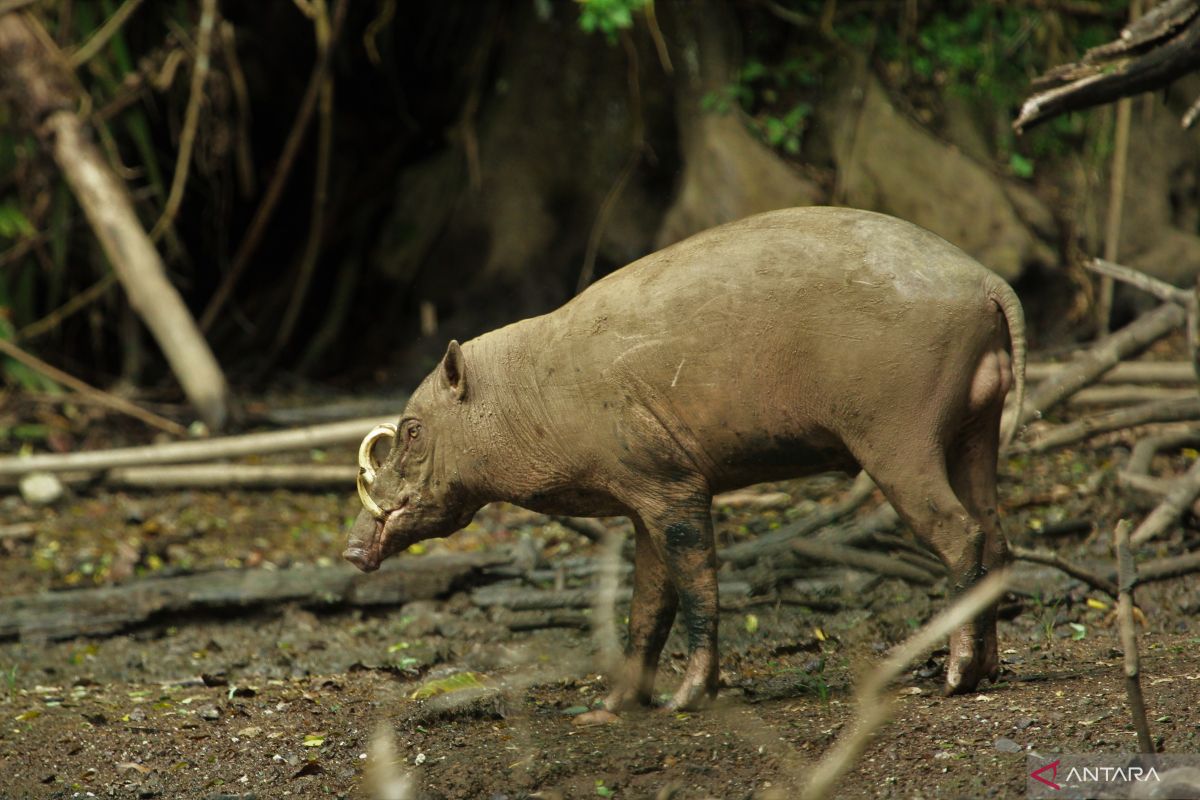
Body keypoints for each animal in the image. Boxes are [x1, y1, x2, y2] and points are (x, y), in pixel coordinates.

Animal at [345, 206, 1022, 714]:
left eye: (411, 432)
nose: (352, 550)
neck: (528, 396)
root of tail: (987, 283)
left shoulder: (671, 483)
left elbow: (697, 586)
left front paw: (685, 699)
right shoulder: (640, 496)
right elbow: (648, 604)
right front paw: (611, 708)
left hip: (899, 435)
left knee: (959, 533)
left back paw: (955, 677)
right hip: (975, 431)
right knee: (995, 534)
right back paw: (988, 671)